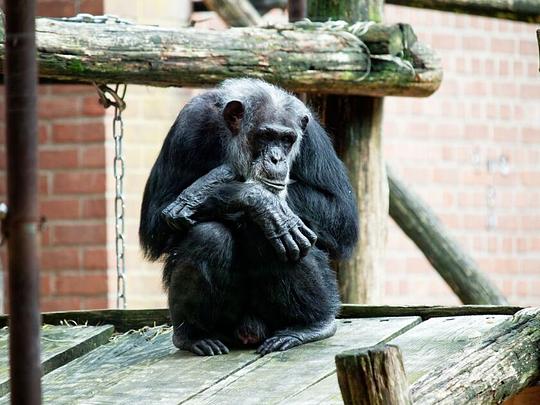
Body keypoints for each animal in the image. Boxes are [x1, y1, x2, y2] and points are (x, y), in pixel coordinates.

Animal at [139, 77, 358, 356]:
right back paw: (194, 336)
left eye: (287, 139)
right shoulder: (186, 127)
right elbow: (156, 217)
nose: (276, 158)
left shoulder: (313, 138)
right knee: (209, 235)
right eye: (265, 136)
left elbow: (341, 214)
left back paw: (311, 325)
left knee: (266, 234)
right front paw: (254, 198)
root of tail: (250, 332)